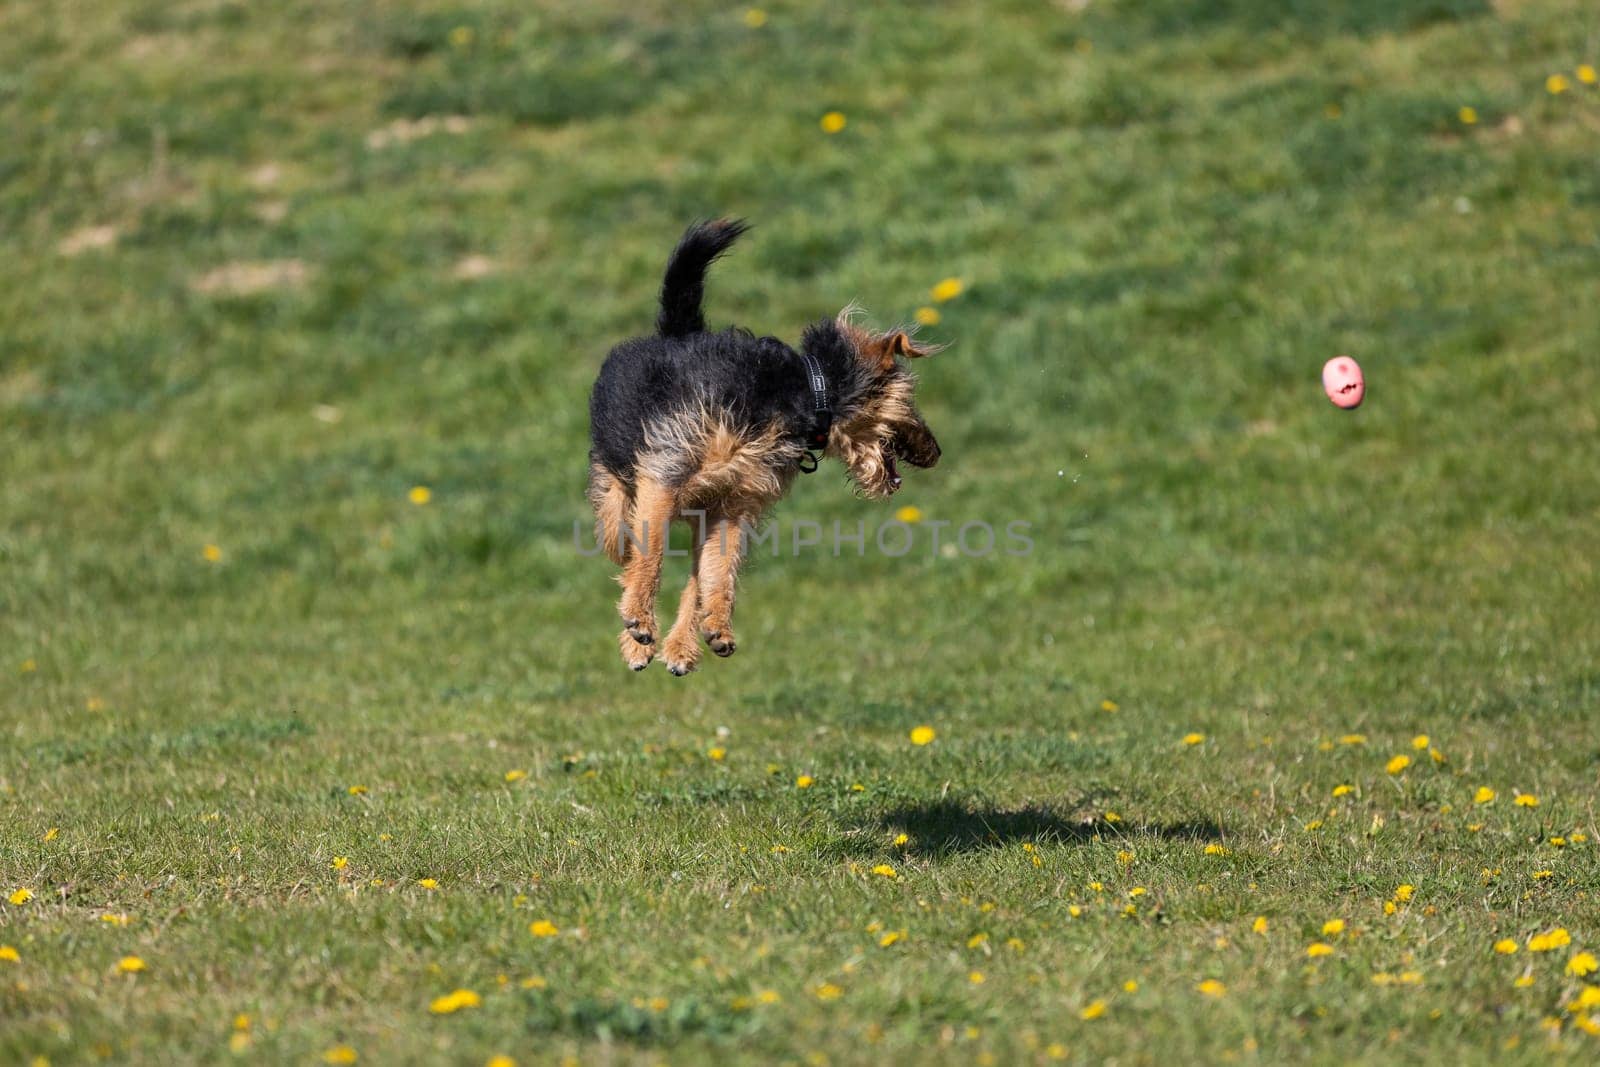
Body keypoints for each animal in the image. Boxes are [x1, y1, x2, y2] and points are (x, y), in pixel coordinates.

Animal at [588, 217, 940, 675]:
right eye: (910, 401)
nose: (937, 452)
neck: (803, 394)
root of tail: (678, 332)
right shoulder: (666, 471)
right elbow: (650, 555)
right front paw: (639, 622)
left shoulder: (733, 506)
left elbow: (716, 573)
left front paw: (714, 625)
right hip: (621, 500)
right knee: (624, 541)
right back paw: (638, 638)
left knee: (693, 577)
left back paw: (682, 645)